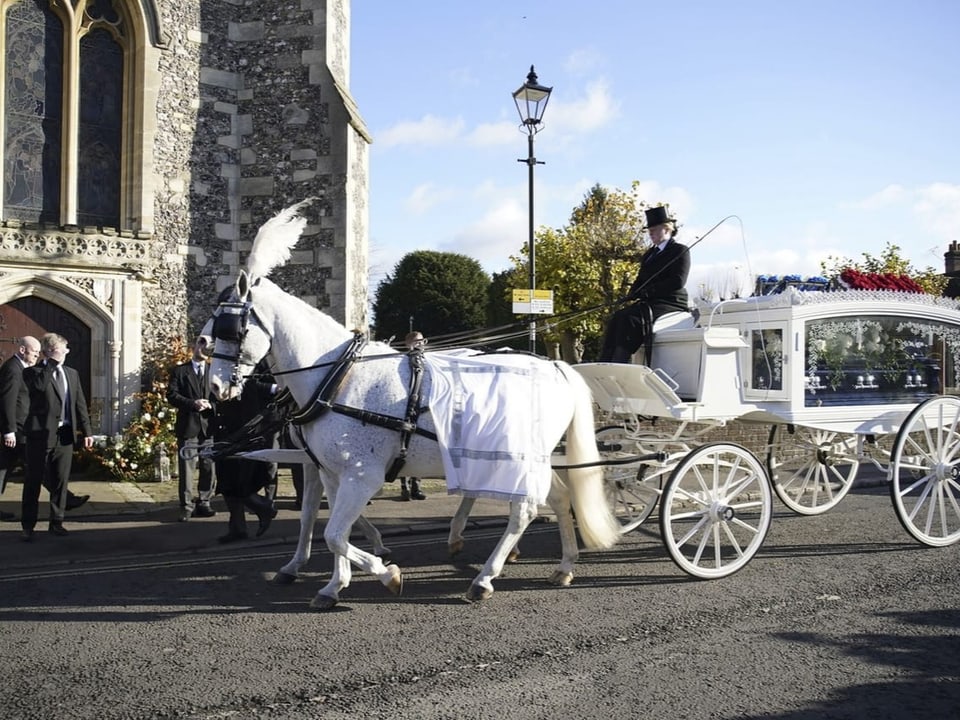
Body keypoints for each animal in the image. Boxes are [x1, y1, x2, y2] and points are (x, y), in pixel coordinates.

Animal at [206, 201, 620, 608]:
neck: (337, 376)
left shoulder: (361, 474)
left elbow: (336, 533)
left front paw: (385, 572)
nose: (213, 388)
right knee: (558, 497)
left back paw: (484, 578)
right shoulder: (330, 470)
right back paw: (562, 566)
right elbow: (328, 526)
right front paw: (334, 583)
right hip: (527, 457)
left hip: (518, 458)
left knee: (525, 509)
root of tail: (553, 366)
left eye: (227, 328)